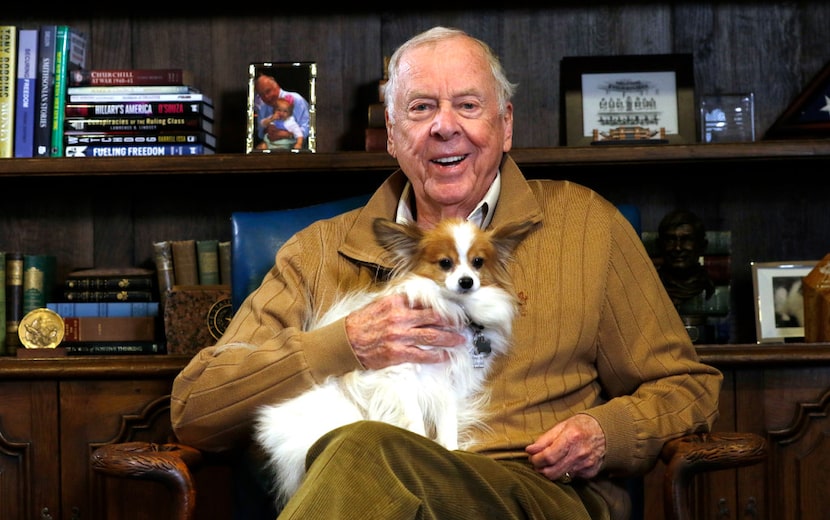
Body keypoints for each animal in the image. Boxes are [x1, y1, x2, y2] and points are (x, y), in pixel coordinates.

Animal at [254, 215, 536, 504]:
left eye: (478, 262)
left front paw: (450, 450)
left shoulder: (447, 386)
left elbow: (447, 423)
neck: (456, 308)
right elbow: (414, 420)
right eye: (445, 263)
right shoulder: (401, 377)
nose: (467, 281)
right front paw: (420, 444)